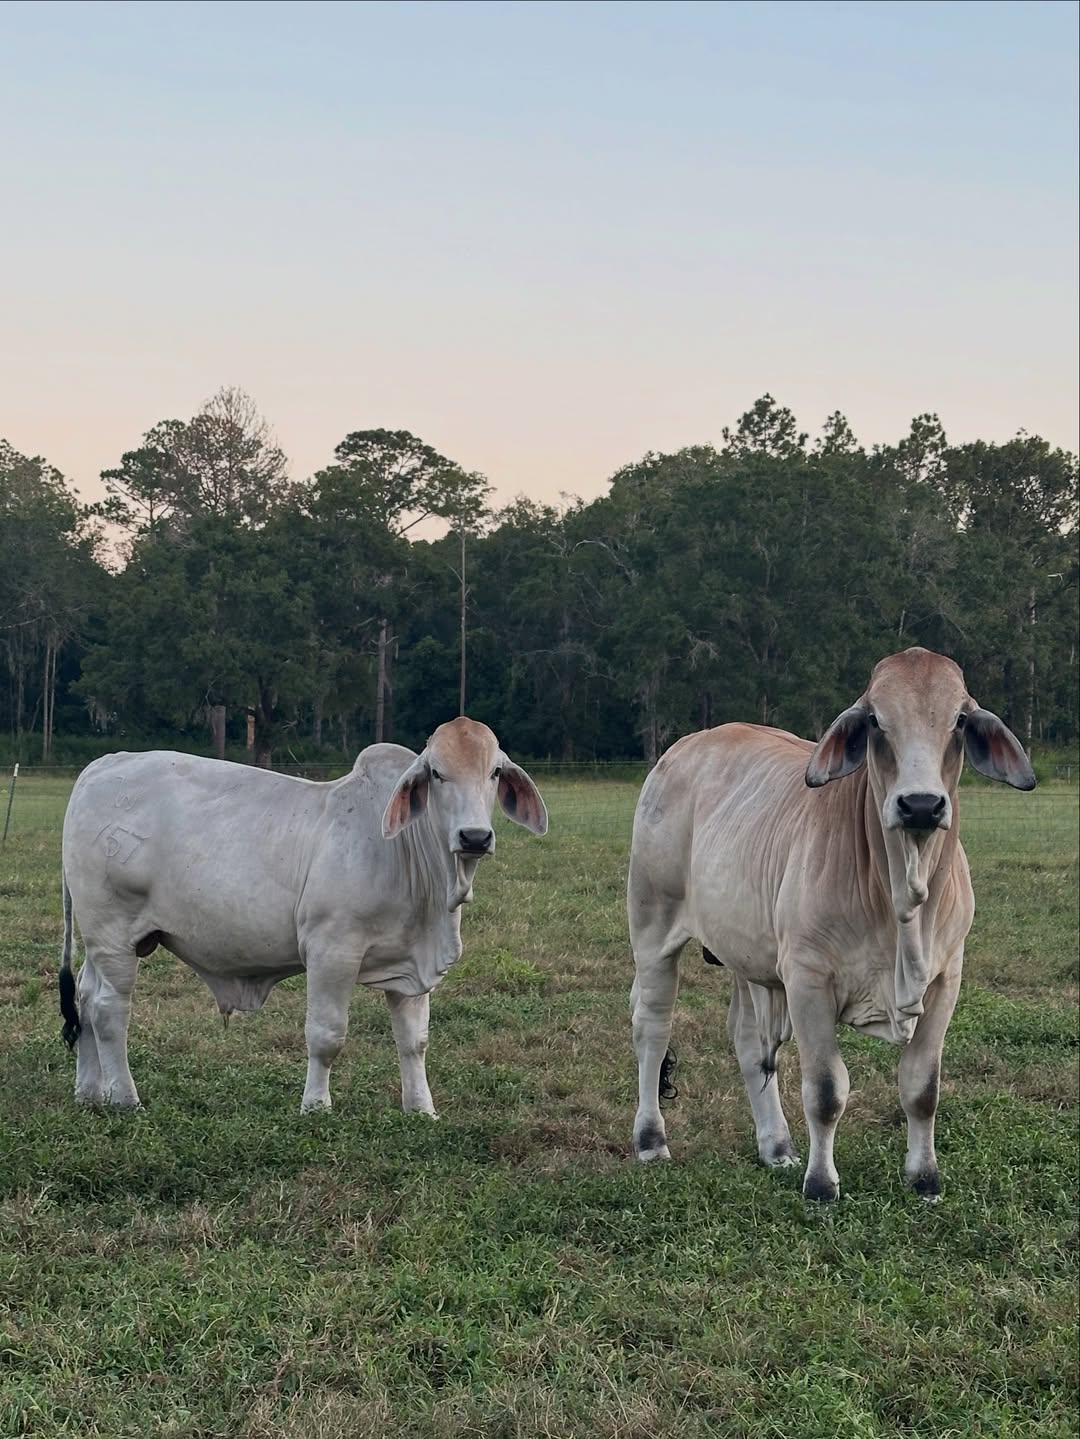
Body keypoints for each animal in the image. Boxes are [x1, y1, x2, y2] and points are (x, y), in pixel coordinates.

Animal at [58, 718, 547, 1114]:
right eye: (437, 774)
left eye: (494, 772)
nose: (474, 836)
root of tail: (100, 766)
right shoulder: (333, 950)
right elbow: (327, 1035)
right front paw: (315, 1105)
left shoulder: (411, 963)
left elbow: (414, 1042)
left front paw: (421, 1109)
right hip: (113, 933)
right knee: (109, 1009)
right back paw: (125, 1097)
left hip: (103, 942)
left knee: (86, 996)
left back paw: (90, 1092)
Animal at [627, 648, 1035, 1201]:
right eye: (876, 721)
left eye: (959, 720)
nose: (921, 805)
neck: (903, 902)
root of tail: (683, 747)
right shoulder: (807, 979)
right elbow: (825, 1091)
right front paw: (821, 1185)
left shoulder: (946, 978)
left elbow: (922, 1088)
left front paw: (925, 1178)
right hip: (652, 927)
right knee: (653, 1027)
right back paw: (651, 1140)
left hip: (747, 955)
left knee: (748, 1040)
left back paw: (776, 1147)